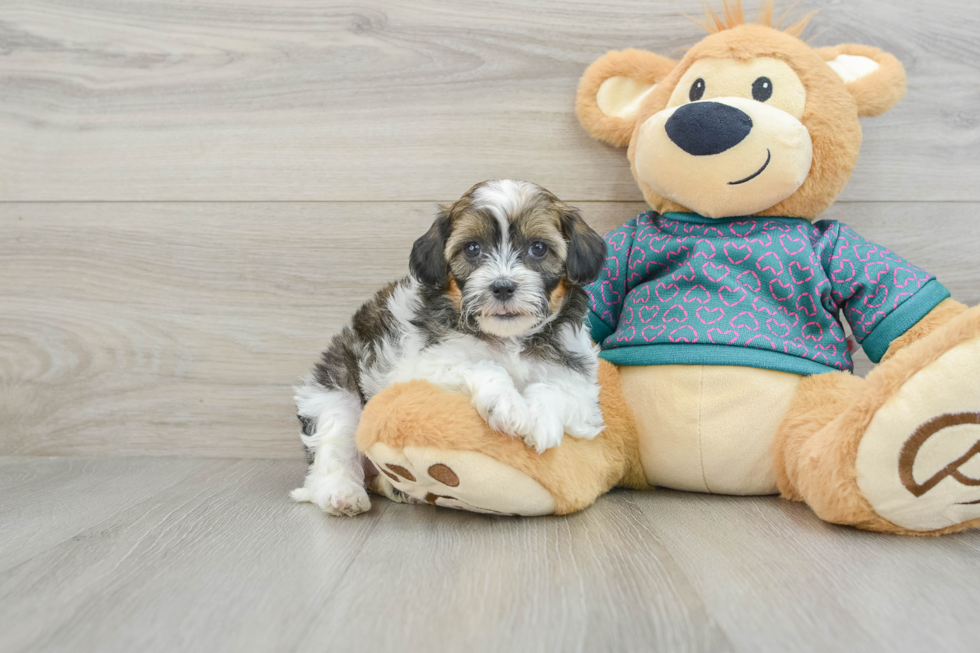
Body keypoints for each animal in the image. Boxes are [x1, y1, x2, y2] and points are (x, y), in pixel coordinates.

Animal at [290, 178, 608, 516]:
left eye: (538, 247)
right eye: (472, 248)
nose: (503, 286)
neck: (507, 338)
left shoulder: (580, 383)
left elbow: (557, 389)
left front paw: (540, 420)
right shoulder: (420, 366)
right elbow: (481, 365)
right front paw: (507, 404)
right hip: (335, 392)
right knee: (334, 444)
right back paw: (342, 493)